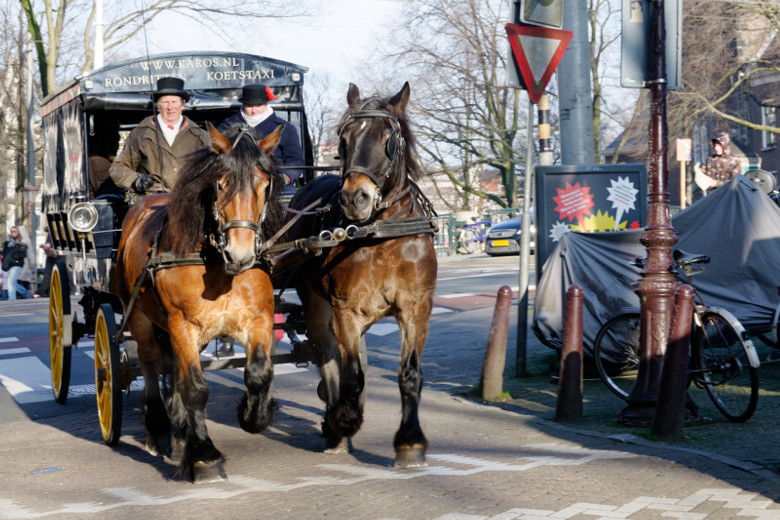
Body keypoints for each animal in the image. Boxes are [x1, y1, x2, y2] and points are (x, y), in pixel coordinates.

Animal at [114, 124, 284, 482]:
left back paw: (179, 427)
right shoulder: (182, 323)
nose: (240, 253)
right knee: (150, 363)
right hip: (139, 315)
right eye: (220, 184)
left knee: (174, 369)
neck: (219, 265)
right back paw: (160, 430)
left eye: (265, 185)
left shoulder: (258, 318)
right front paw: (203, 455)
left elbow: (259, 372)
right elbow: (195, 387)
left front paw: (253, 415)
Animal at [286, 82, 436, 468]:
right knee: (327, 356)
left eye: (389, 138)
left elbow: (410, 374)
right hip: (317, 303)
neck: (382, 237)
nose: (355, 197)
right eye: (344, 138)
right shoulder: (345, 310)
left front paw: (410, 442)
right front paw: (345, 420)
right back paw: (335, 423)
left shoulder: (416, 309)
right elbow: (351, 375)